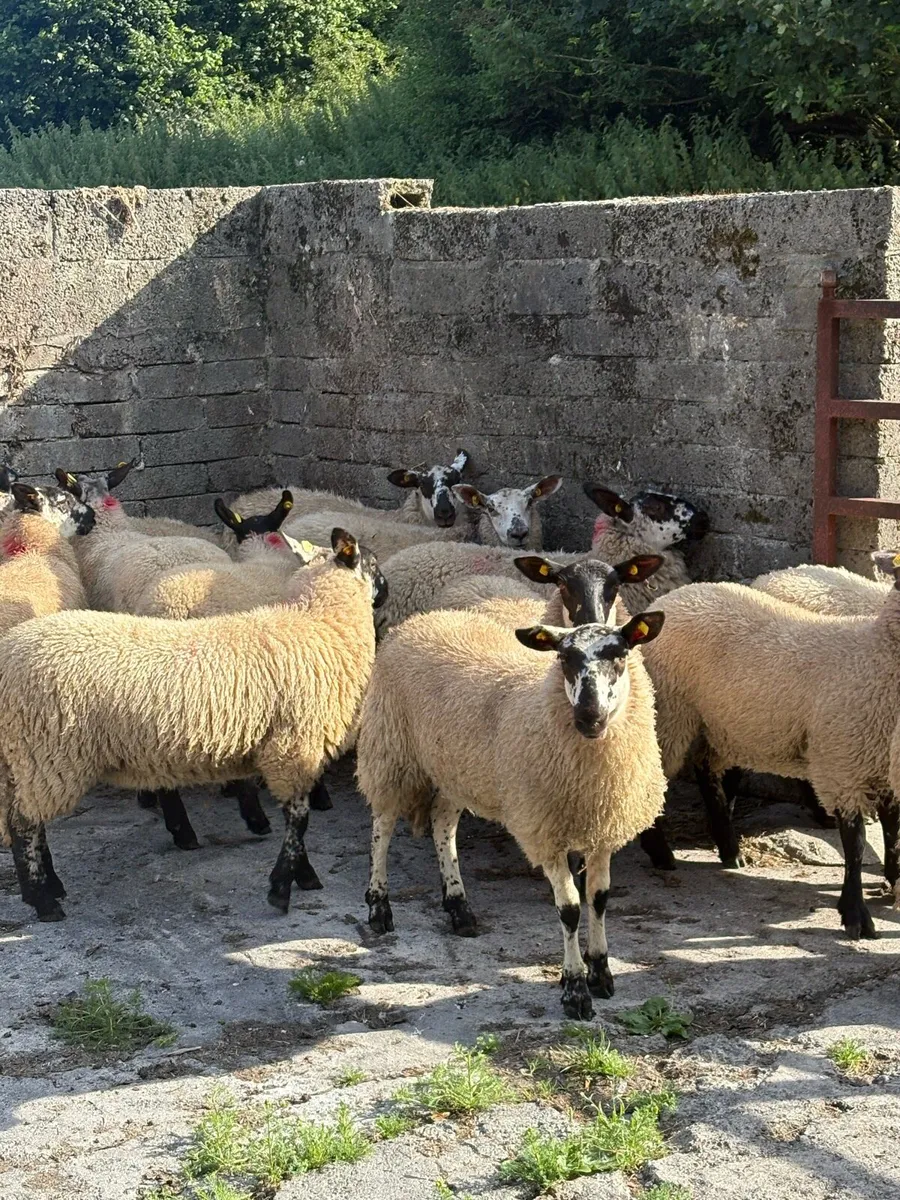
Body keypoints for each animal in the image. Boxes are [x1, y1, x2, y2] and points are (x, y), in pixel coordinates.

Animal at [0, 529, 387, 922]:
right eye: (372, 563)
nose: (386, 593)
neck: (317, 622)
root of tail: (8, 656)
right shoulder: (292, 749)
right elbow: (299, 820)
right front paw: (284, 887)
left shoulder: (286, 750)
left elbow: (296, 820)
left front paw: (298, 877)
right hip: (47, 754)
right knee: (24, 824)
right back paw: (44, 900)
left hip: (24, 756)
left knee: (24, 818)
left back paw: (48, 888)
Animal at [356, 605, 666, 1019]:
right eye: (564, 659)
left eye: (619, 655)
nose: (589, 717)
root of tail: (426, 617)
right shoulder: (544, 831)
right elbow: (570, 909)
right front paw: (575, 989)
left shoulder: (603, 825)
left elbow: (599, 900)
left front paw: (601, 972)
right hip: (391, 748)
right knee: (383, 827)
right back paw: (379, 906)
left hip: (456, 768)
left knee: (442, 825)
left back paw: (459, 907)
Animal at [639, 560, 900, 940]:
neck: (875, 651)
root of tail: (676, 595)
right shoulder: (842, 764)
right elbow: (855, 845)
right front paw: (855, 915)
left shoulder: (883, 766)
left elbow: (893, 833)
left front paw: (894, 883)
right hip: (670, 712)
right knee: (652, 775)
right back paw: (661, 852)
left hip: (723, 723)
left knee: (708, 771)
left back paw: (729, 849)